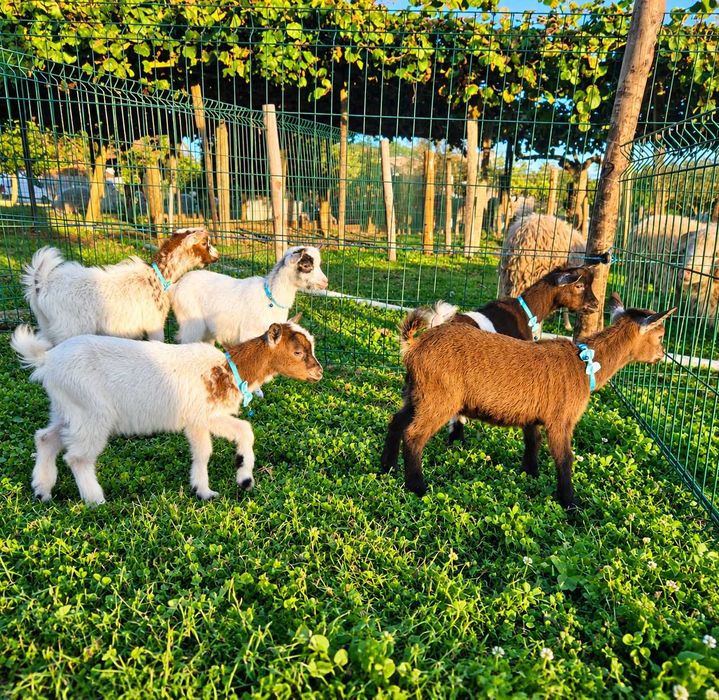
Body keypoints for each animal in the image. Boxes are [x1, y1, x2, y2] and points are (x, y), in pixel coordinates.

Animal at [11, 319, 322, 505]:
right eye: (297, 352)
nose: (318, 372)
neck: (226, 370)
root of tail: (47, 360)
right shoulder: (202, 414)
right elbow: (226, 441)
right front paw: (234, 481)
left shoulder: (200, 419)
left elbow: (215, 445)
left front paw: (213, 487)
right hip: (91, 412)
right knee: (77, 457)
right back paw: (95, 500)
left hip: (67, 408)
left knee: (45, 438)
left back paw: (42, 490)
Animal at [22, 228, 218, 346]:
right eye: (205, 243)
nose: (217, 256)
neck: (158, 276)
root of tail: (42, 285)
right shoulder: (154, 322)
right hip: (69, 327)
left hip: (47, 325)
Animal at [172, 245, 328, 346]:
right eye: (306, 265)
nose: (325, 282)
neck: (270, 298)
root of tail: (177, 285)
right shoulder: (250, 333)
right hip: (191, 323)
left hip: (207, 329)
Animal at [380, 293, 676, 510]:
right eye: (661, 336)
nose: (661, 356)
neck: (586, 364)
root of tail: (413, 348)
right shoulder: (561, 419)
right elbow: (565, 458)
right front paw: (570, 503)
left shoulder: (533, 416)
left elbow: (533, 443)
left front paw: (530, 474)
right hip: (439, 398)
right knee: (414, 435)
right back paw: (417, 487)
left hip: (417, 394)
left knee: (396, 422)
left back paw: (388, 469)